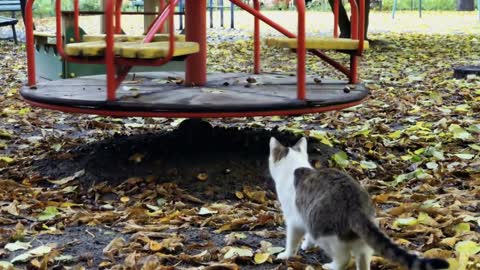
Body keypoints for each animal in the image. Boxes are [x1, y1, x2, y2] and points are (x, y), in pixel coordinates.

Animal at [268, 137, 448, 270]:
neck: (295, 167)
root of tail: (355, 204)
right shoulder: (303, 215)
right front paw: (307, 244)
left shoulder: (295, 219)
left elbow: (292, 240)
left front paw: (287, 254)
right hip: (362, 241)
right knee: (363, 257)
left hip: (324, 231)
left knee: (344, 258)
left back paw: (331, 266)